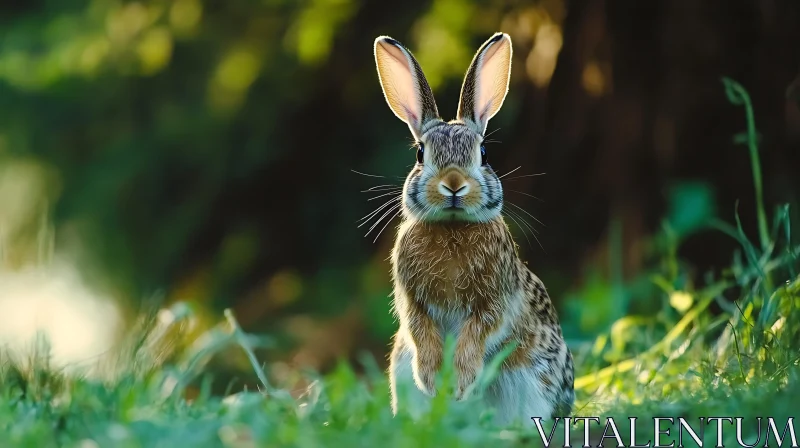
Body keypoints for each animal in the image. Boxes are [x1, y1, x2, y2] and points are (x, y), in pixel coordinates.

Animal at [372, 33, 572, 426]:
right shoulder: (412, 302)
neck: (453, 227)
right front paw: (433, 380)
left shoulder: (493, 301)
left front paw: (461, 383)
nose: (453, 184)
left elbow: (479, 332)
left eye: (484, 154)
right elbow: (420, 328)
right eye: (420, 154)